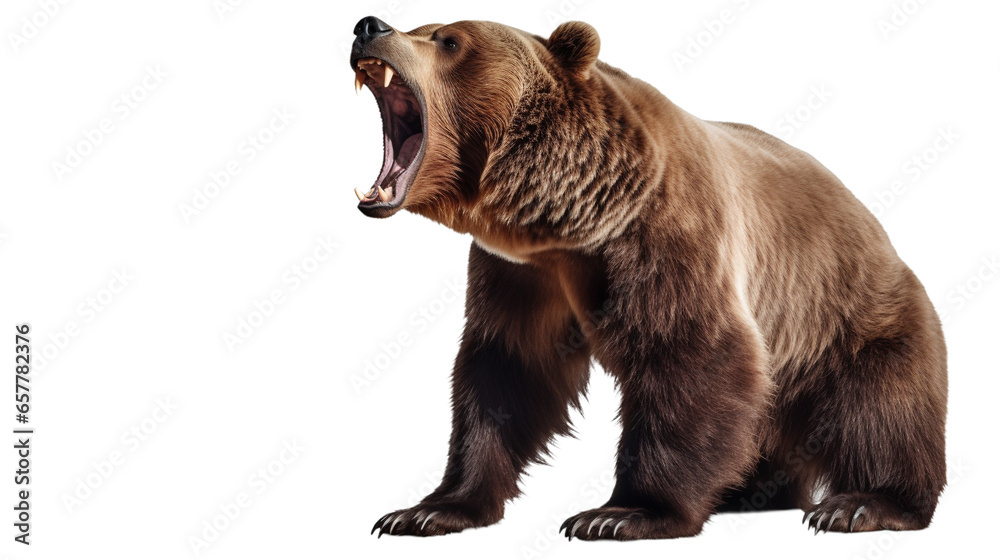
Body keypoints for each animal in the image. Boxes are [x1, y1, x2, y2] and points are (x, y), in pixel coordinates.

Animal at [349, 16, 948, 540]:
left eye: (448, 39)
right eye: (423, 26)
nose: (368, 26)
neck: (570, 220)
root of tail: (879, 230)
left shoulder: (667, 235)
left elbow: (691, 357)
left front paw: (621, 514)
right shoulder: (519, 273)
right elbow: (506, 371)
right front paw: (426, 510)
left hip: (847, 323)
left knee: (882, 411)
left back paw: (862, 504)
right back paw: (743, 491)